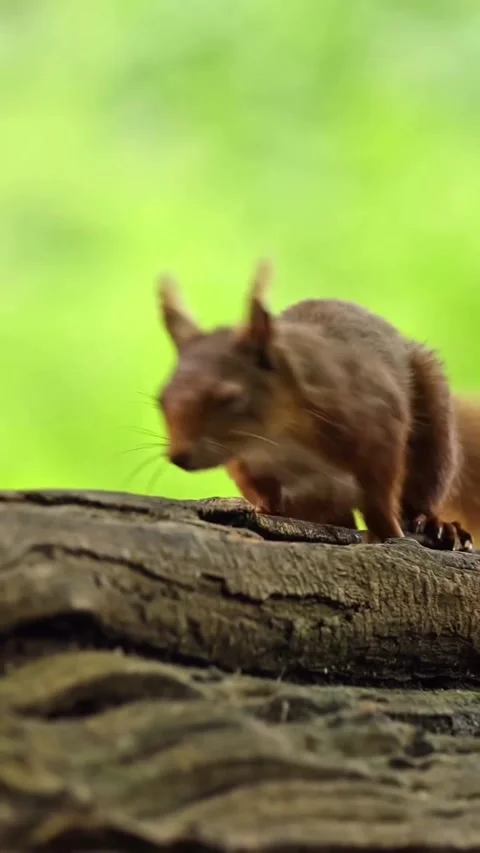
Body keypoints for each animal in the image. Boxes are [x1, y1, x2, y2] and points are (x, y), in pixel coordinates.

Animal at [156, 260, 478, 551]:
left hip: (434, 429)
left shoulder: (375, 421)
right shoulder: (244, 461)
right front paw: (263, 510)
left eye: (230, 397)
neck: (280, 438)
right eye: (161, 398)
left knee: (424, 485)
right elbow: (260, 490)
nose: (179, 456)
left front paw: (390, 533)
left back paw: (437, 525)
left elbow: (380, 497)